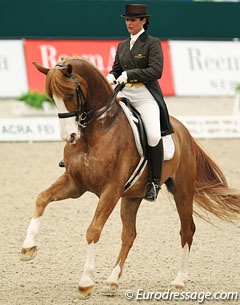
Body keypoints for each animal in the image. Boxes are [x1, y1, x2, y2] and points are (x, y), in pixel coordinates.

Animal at [20, 55, 240, 298]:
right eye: (52, 98)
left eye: (69, 95)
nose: (69, 136)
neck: (97, 129)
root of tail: (185, 133)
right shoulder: (75, 184)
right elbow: (42, 198)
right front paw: (28, 248)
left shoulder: (111, 190)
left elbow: (93, 230)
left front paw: (85, 282)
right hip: (132, 197)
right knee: (130, 234)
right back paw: (112, 281)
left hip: (182, 192)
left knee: (187, 230)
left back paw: (179, 281)